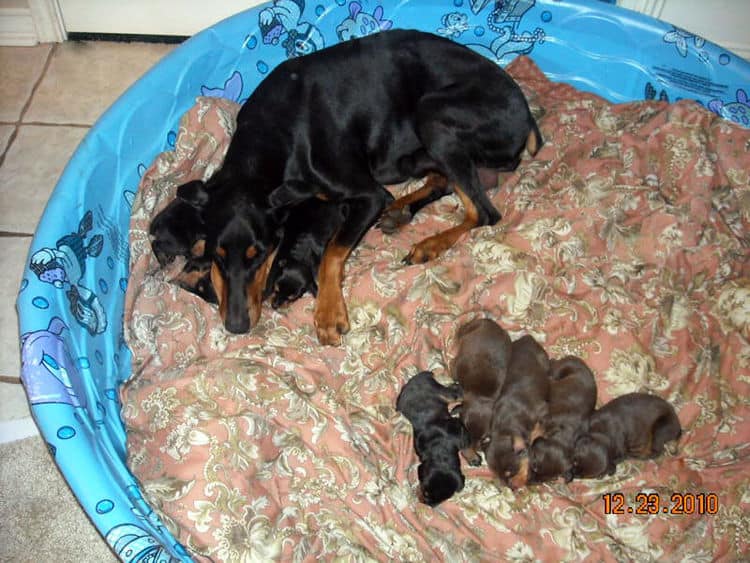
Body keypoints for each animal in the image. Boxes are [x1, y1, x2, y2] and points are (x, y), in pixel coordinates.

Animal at [179, 30, 544, 344]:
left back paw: (429, 244)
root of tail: (527, 117)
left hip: (432, 114)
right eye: (218, 255)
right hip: (412, 154)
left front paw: (328, 313)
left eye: (261, 253)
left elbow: (332, 251)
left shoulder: (369, 195)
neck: (270, 131)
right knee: (445, 182)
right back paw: (401, 211)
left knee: (483, 212)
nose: (236, 326)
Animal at [394, 370, 470, 506]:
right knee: (455, 391)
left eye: (442, 501)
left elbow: (466, 443)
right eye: (425, 492)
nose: (428, 505)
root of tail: (423, 375)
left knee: (456, 391)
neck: (441, 452)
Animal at [482, 334, 552, 490]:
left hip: (543, 360)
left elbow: (538, 430)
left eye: (511, 472)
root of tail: (528, 337)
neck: (506, 425)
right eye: (496, 475)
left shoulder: (543, 411)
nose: (510, 488)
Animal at [528, 356, 600, 484]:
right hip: (560, 369)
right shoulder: (545, 418)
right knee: (552, 368)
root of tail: (576, 359)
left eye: (546, 480)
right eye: (534, 466)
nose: (529, 483)